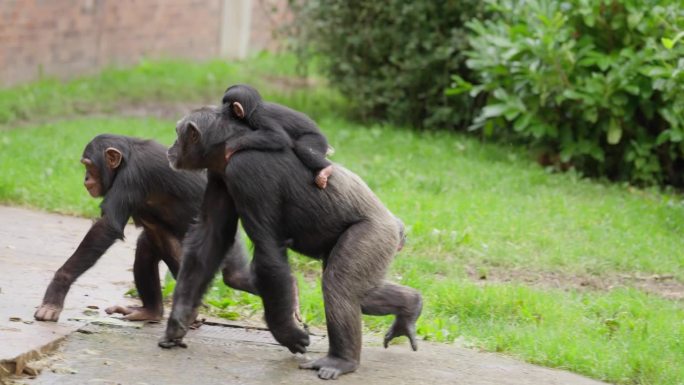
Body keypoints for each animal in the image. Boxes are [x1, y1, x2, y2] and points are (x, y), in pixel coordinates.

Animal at [34, 134, 255, 322]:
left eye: (89, 166)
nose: (86, 178)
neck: (126, 158)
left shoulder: (131, 176)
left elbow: (107, 226)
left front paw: (55, 292)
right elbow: (155, 232)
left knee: (235, 276)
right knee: (147, 248)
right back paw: (151, 311)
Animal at [160, 106, 422, 380]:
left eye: (177, 133)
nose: (171, 147)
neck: (228, 145)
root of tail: (397, 227)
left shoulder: (247, 171)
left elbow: (268, 253)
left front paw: (286, 332)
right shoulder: (218, 177)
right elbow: (209, 238)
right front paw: (178, 321)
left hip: (372, 235)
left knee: (340, 286)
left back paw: (341, 360)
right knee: (364, 294)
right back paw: (410, 307)